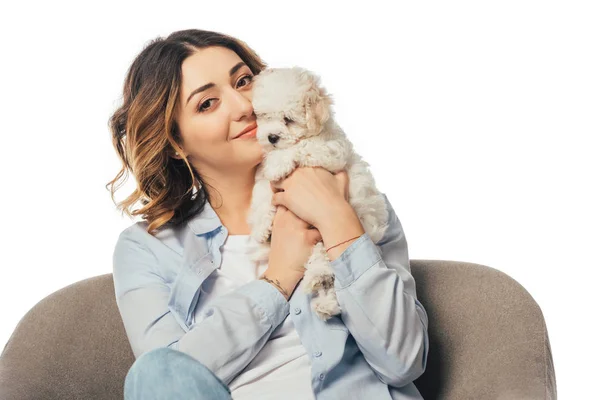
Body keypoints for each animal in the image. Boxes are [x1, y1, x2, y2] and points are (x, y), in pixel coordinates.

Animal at [245, 66, 390, 322]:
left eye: (288, 120)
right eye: (263, 116)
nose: (272, 137)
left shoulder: (331, 151)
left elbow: (301, 147)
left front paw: (280, 162)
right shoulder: (263, 179)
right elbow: (262, 193)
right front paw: (262, 228)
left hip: (336, 232)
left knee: (326, 262)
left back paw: (317, 278)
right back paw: (325, 303)